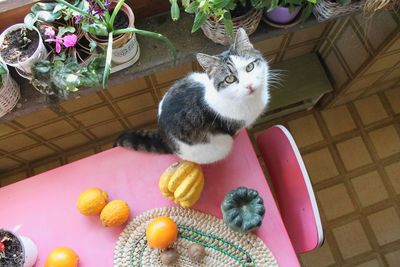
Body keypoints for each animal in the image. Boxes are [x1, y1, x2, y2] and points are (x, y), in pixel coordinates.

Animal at [115, 28, 272, 164]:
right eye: (230, 79)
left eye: (250, 67)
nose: (249, 85)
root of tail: (164, 138)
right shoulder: (230, 126)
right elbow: (235, 132)